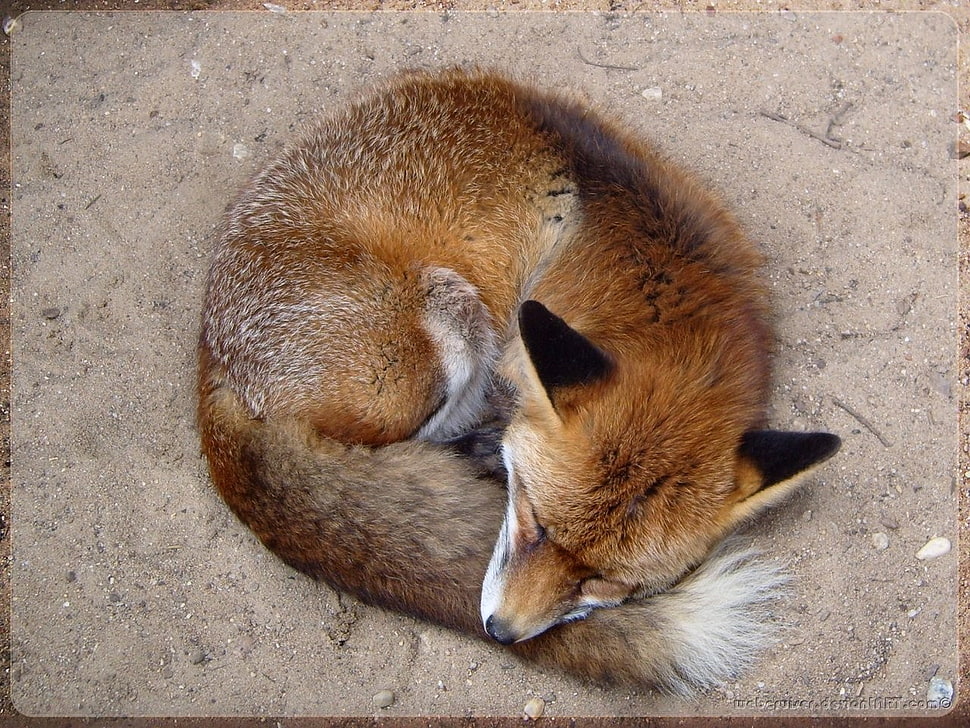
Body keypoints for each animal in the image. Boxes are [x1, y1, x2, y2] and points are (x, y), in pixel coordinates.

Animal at [196, 67, 841, 692]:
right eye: (531, 520)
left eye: (604, 583)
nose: (501, 632)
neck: (673, 304)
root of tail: (212, 356)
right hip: (440, 334)